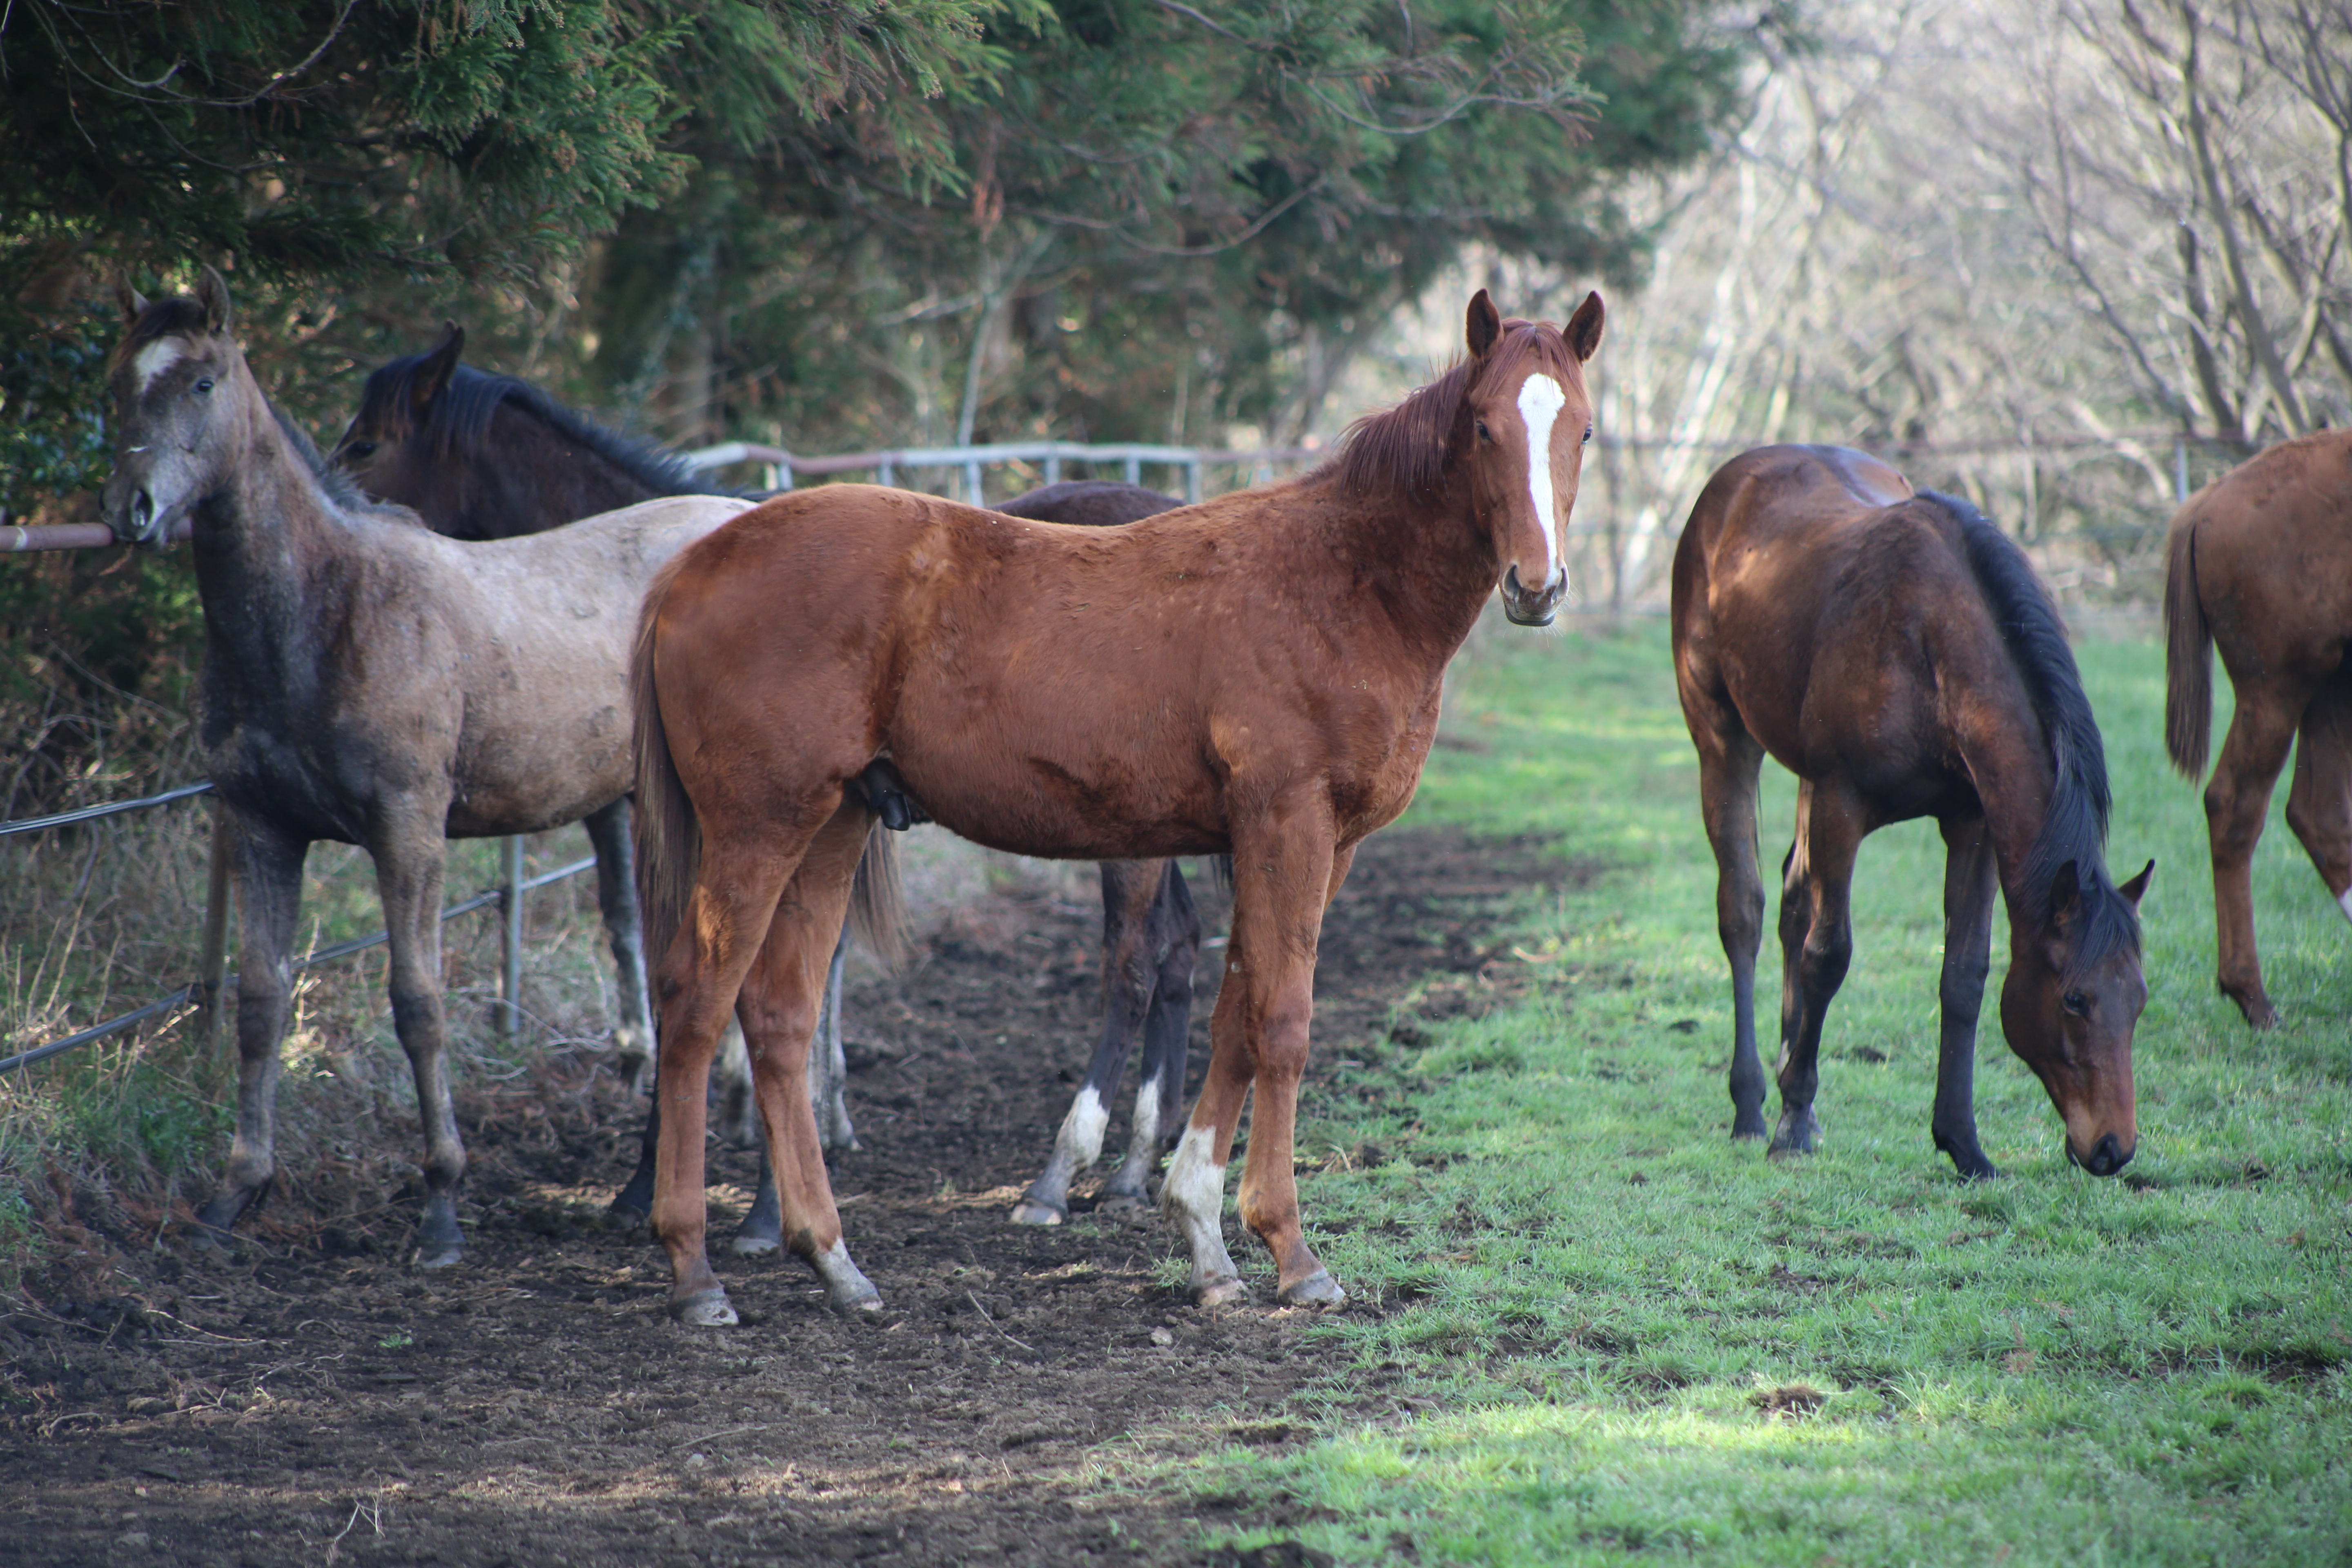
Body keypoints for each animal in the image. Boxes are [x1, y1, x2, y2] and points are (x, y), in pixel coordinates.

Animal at [94, 272, 889, 1278]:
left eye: (202, 382)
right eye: (121, 381)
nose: (133, 507)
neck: (326, 606)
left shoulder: (408, 831)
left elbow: (418, 1004)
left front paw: (441, 1207)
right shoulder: (263, 828)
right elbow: (261, 1004)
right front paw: (234, 1196)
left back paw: (754, 1209)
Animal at [635, 285, 1608, 1326]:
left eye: (1583, 429)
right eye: (1482, 426)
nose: (1536, 586)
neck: (1341, 579)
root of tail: (692, 565)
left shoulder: (1309, 844)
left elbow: (1238, 1012)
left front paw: (1205, 1236)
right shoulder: (1287, 825)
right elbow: (1283, 1021)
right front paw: (1290, 1251)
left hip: (834, 825)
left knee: (779, 1014)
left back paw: (832, 1258)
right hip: (760, 826)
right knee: (696, 1002)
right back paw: (694, 1269)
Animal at [1675, 442, 2154, 1175]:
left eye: (2139, 1000)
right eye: (2076, 999)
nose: (2112, 1149)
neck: (1930, 646)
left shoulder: (1972, 826)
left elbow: (1964, 974)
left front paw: (1962, 1143)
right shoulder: (1842, 805)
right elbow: (1828, 955)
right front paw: (1790, 1122)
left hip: (1803, 779)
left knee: (1791, 900)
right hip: (1723, 737)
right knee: (1745, 913)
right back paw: (1755, 1104)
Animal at [2164, 432, 2352, 1029]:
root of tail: (2209, 501)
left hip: (2328, 687)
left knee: (2320, 817)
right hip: (2279, 691)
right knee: (2235, 806)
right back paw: (2251, 993)